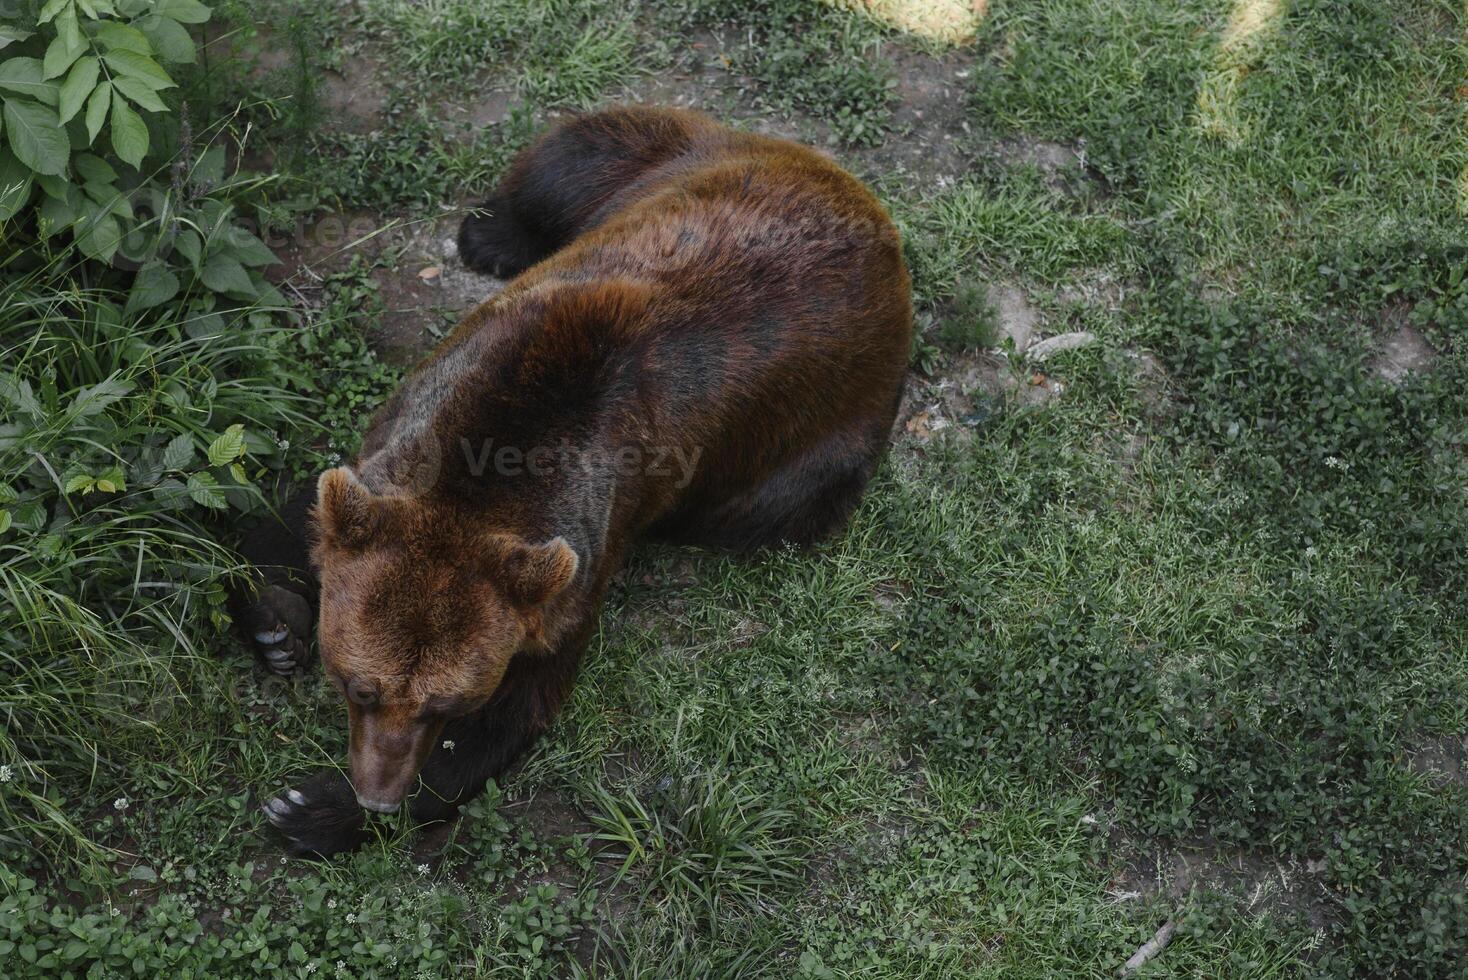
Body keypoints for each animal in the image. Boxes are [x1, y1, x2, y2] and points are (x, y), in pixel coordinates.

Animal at [237, 107, 904, 850]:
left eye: (447, 700)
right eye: (361, 686)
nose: (379, 794)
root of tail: (868, 210)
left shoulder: (582, 557)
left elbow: (516, 711)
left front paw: (310, 809)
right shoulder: (397, 447)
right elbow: (282, 522)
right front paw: (276, 627)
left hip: (807, 453)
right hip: (672, 156)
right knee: (564, 159)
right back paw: (489, 235)